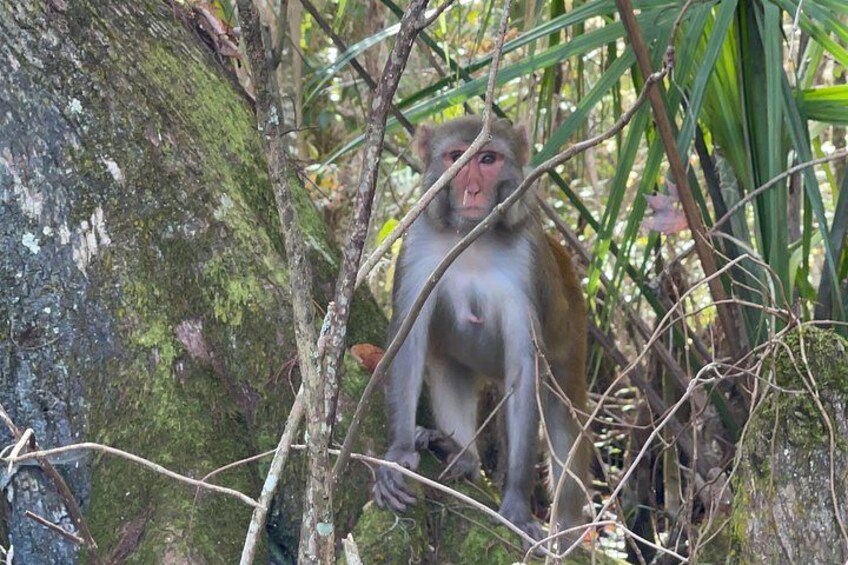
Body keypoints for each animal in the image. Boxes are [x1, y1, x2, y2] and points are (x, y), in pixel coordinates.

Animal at [372, 116, 591, 546]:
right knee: (447, 367)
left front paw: (517, 505)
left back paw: (568, 533)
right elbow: (408, 340)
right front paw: (399, 454)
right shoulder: (417, 244)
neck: (471, 237)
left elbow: (525, 370)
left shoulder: (526, 261)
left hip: (573, 339)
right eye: (457, 157)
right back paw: (464, 458)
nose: (471, 189)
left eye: (488, 159)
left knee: (562, 420)